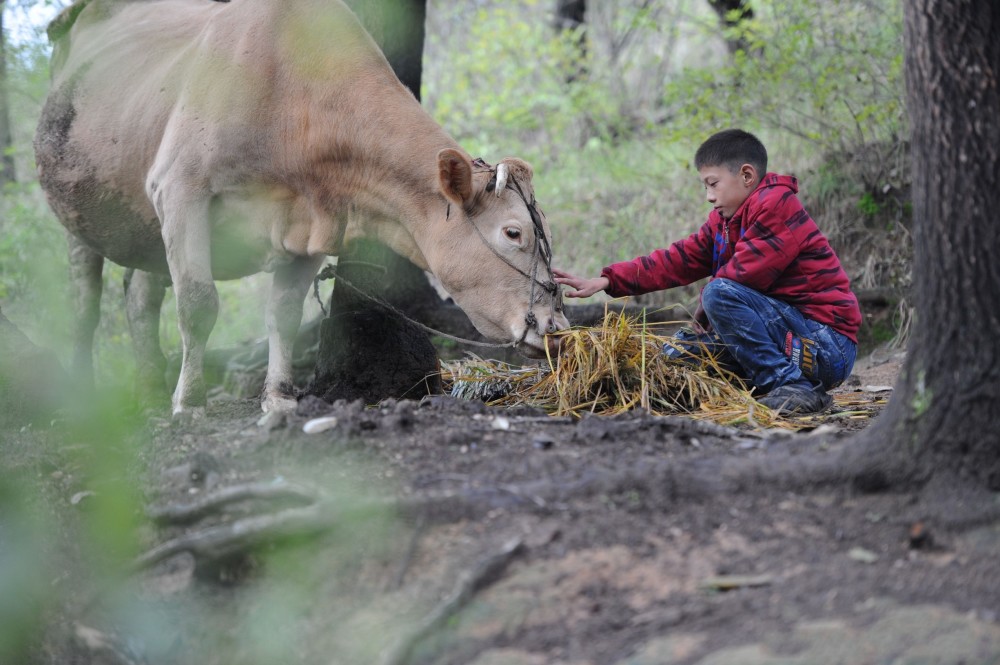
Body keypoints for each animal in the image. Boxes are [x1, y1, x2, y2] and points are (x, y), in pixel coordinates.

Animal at [35, 0, 568, 416]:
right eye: (514, 233)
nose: (556, 328)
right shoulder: (180, 186)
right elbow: (198, 304)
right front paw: (190, 402)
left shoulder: (315, 219)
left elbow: (284, 312)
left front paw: (278, 398)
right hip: (82, 213)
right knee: (85, 302)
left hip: (146, 224)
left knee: (141, 296)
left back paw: (148, 389)